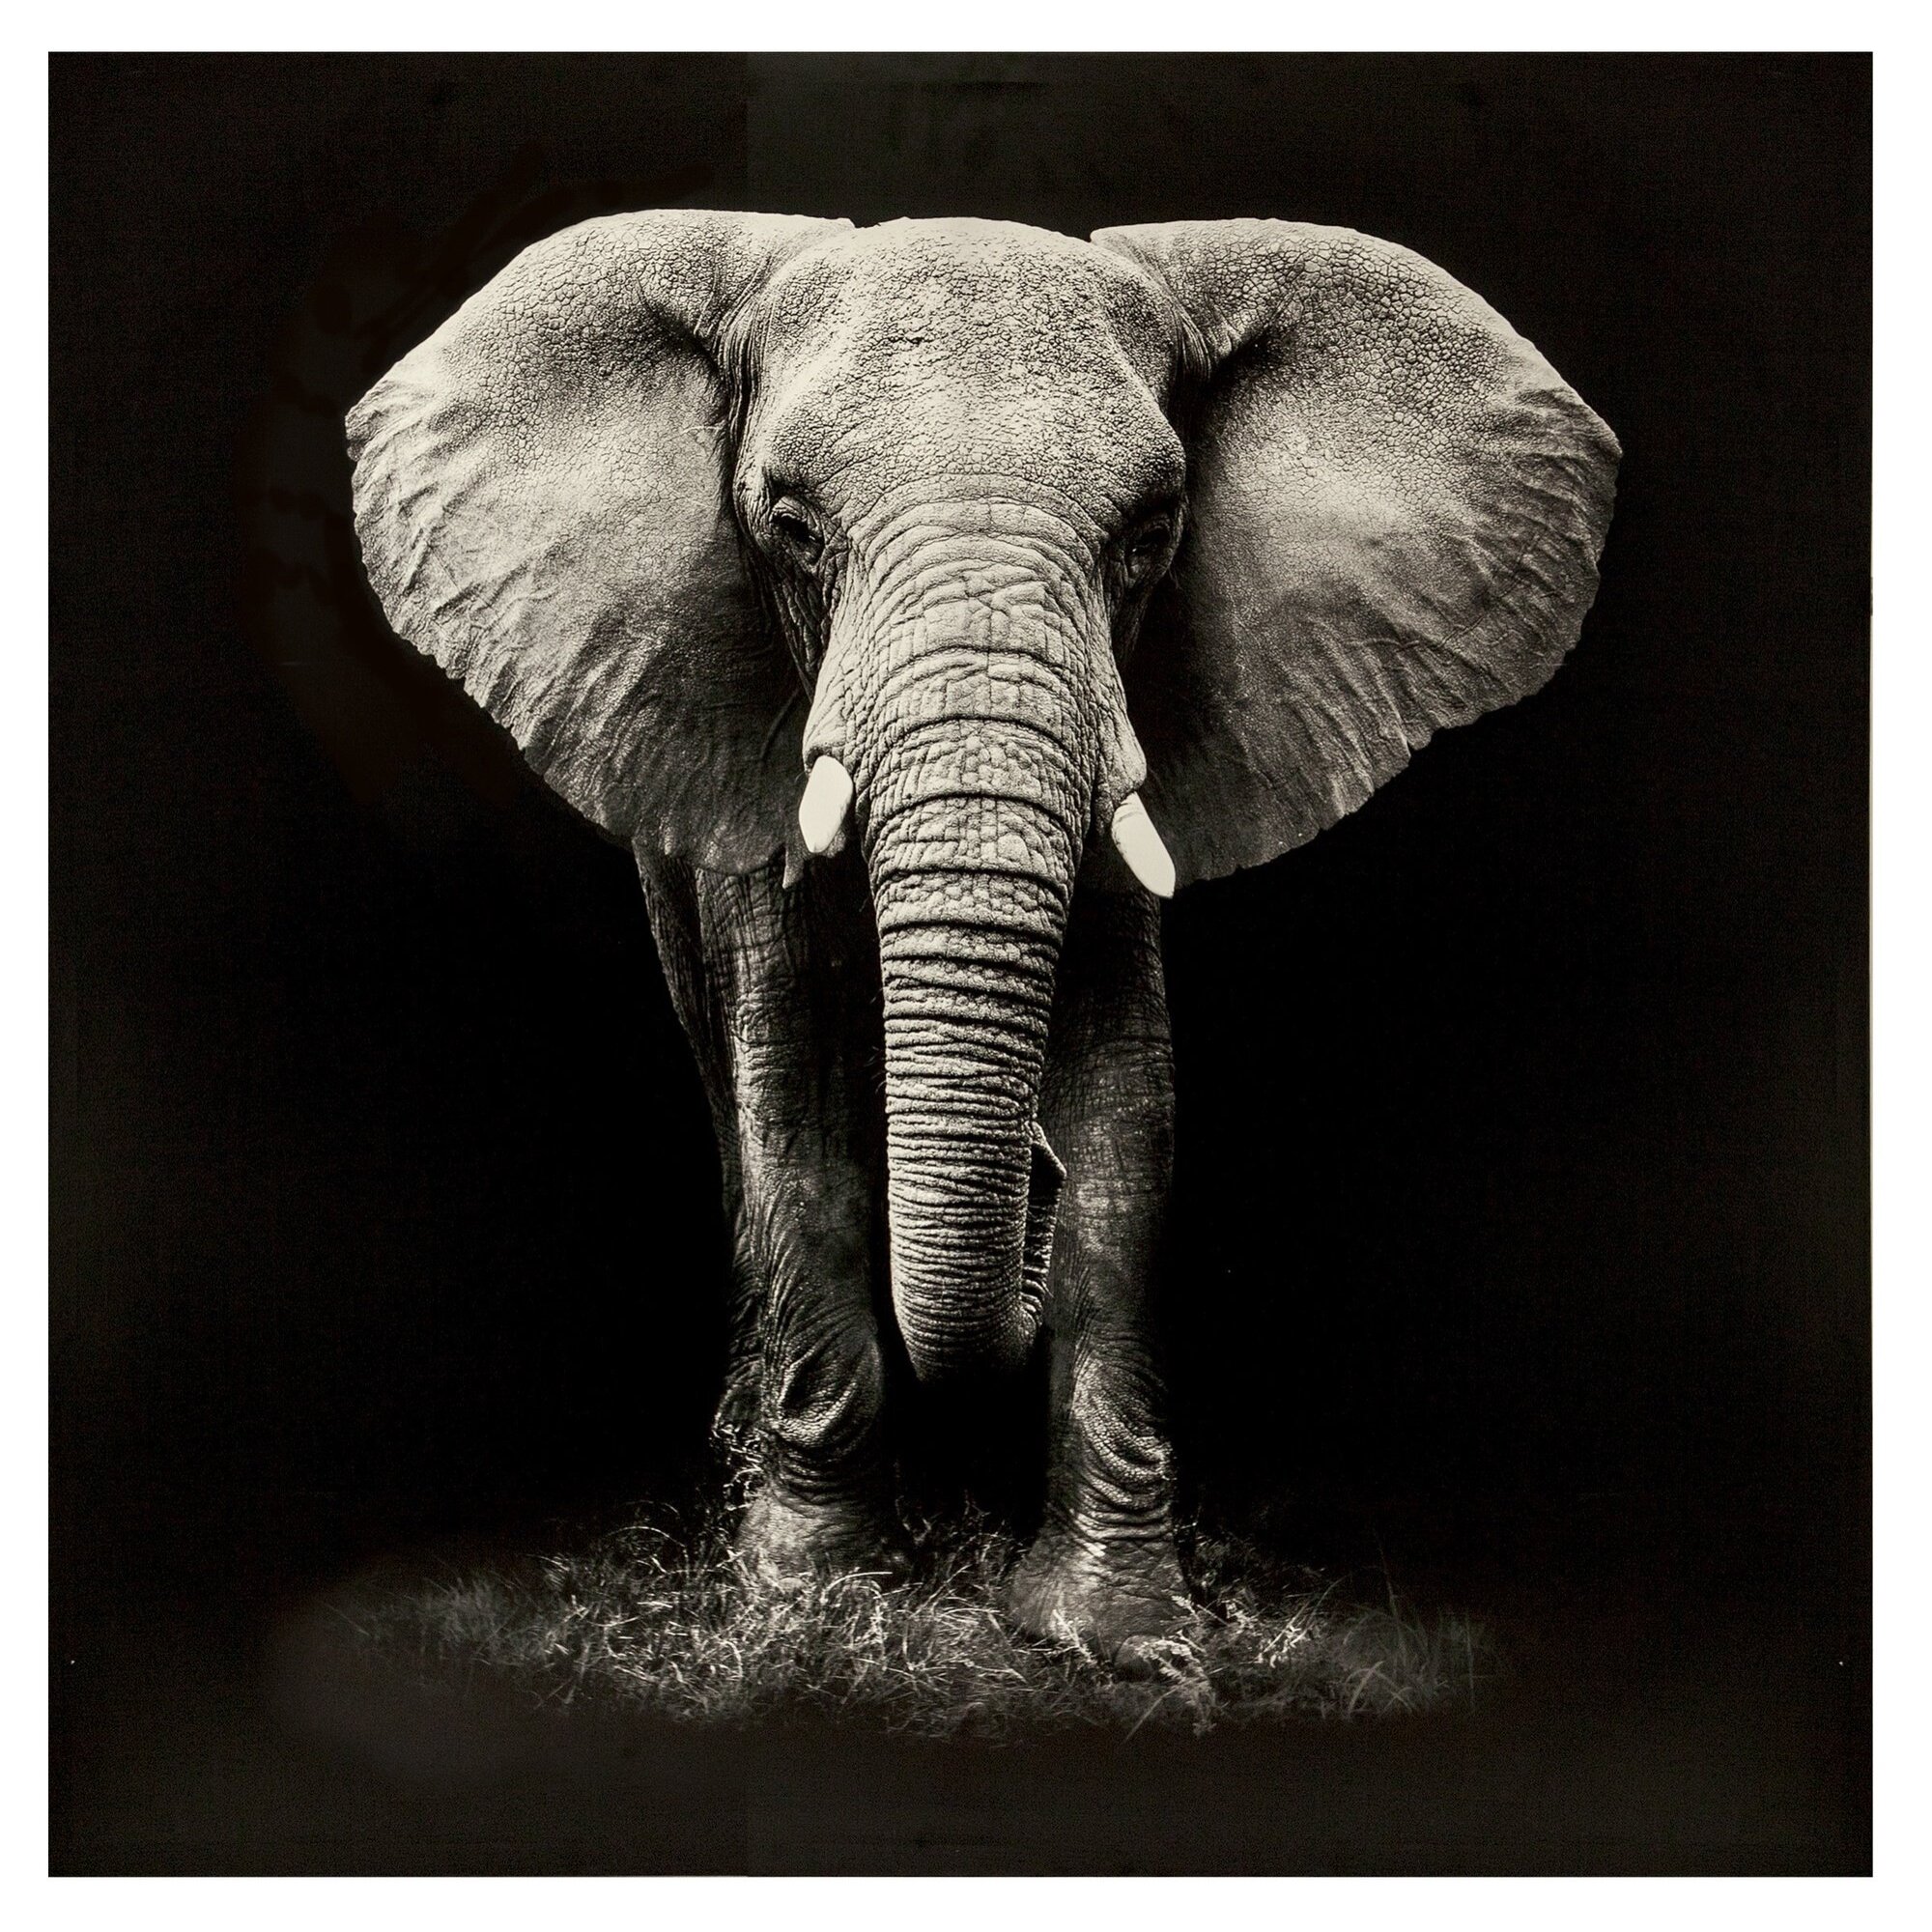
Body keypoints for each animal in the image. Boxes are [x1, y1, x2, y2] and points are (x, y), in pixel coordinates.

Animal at [345, 210, 1618, 1658]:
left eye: (1151, 534)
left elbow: (1129, 1123)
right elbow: (796, 1115)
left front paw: (1112, 1630)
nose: (1030, 1180)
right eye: (791, 528)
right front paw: (813, 1600)